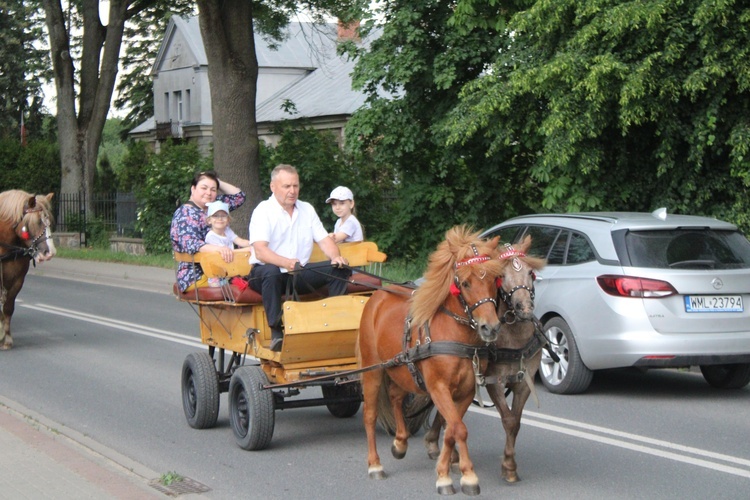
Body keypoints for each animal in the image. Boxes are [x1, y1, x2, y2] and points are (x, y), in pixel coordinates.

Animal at [0, 189, 55, 350]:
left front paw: (7, 339)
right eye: (37, 221)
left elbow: (8, 307)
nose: (50, 253)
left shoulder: (18, 279)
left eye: (50, 221)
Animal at [358, 227, 506, 496]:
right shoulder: (438, 388)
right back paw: (375, 464)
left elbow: (451, 430)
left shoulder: (466, 391)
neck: (454, 333)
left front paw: (447, 473)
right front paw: (465, 477)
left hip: (401, 370)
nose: (490, 328)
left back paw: (400, 442)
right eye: (465, 283)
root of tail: (379, 294)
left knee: (395, 398)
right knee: (370, 414)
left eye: (494, 280)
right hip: (373, 370)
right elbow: (458, 429)